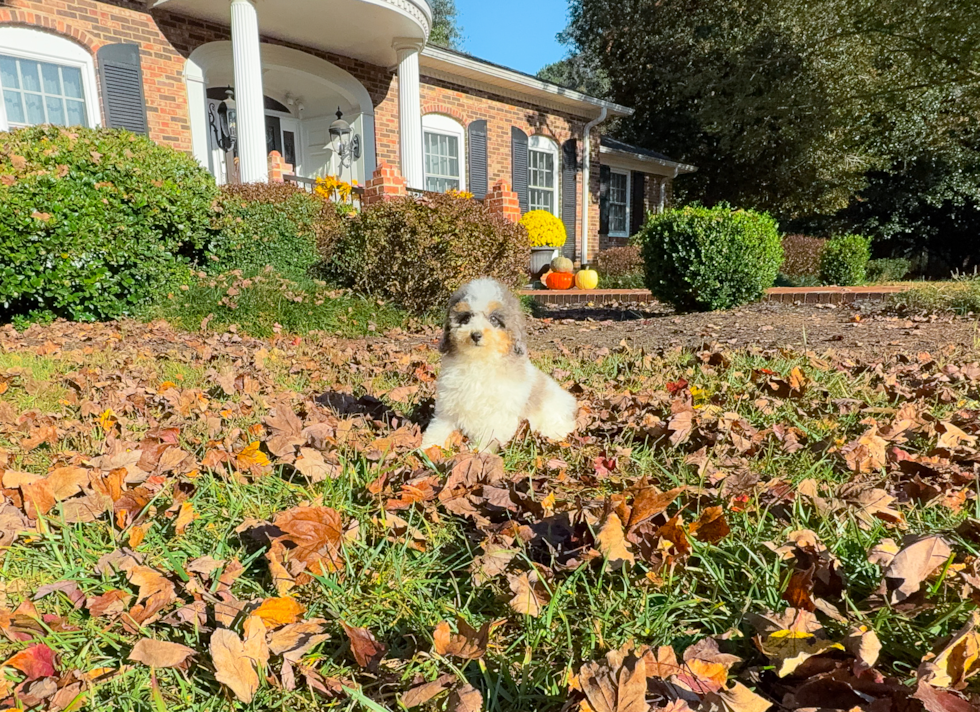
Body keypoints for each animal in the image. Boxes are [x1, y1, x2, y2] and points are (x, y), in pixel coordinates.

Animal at [420, 278, 576, 450]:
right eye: (466, 318)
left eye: (494, 319)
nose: (475, 335)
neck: (479, 362)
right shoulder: (448, 404)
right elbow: (438, 427)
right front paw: (428, 447)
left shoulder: (498, 414)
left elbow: (489, 435)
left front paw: (478, 451)